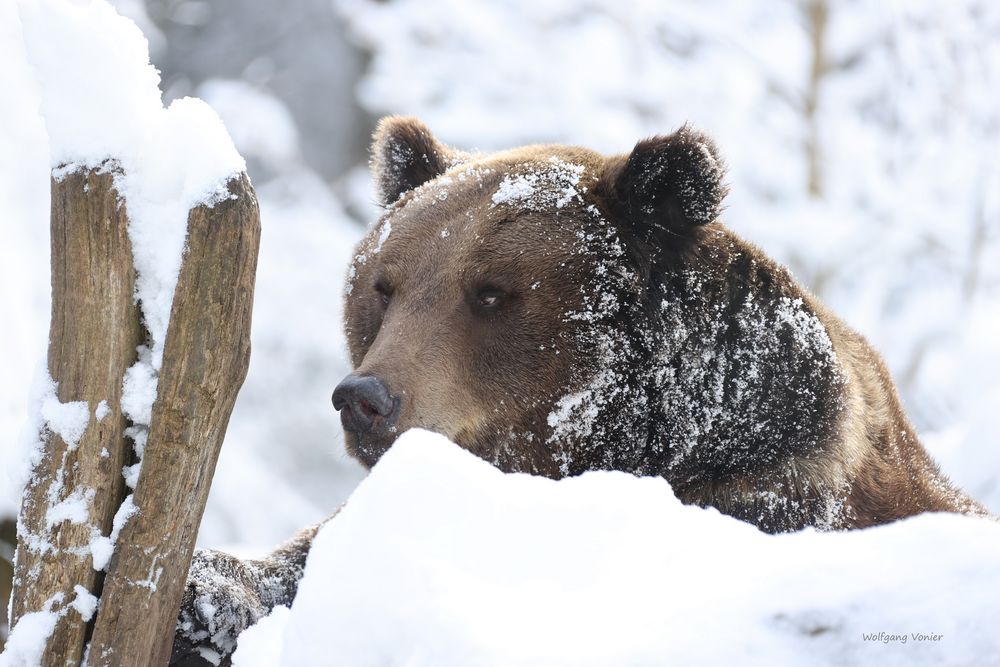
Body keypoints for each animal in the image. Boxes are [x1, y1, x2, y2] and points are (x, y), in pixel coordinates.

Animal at [168, 117, 988, 664]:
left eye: (491, 292)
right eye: (383, 286)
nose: (366, 398)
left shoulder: (767, 497)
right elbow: (306, 560)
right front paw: (203, 595)